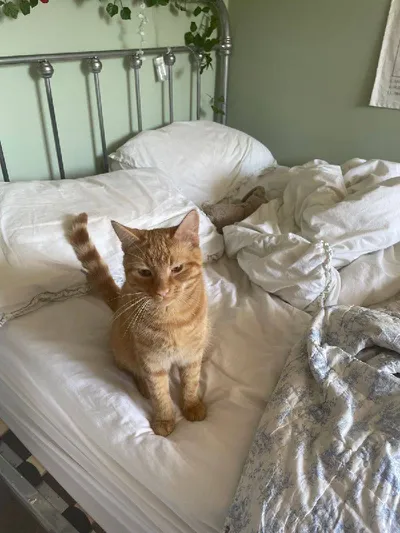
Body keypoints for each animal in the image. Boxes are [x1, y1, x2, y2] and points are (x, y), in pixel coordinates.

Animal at [68, 210, 208, 437]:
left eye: (177, 268)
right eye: (145, 272)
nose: (163, 291)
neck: (171, 319)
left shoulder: (191, 354)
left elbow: (191, 382)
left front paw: (192, 405)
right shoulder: (152, 362)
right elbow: (160, 394)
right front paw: (164, 419)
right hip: (125, 351)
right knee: (131, 369)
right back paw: (143, 386)